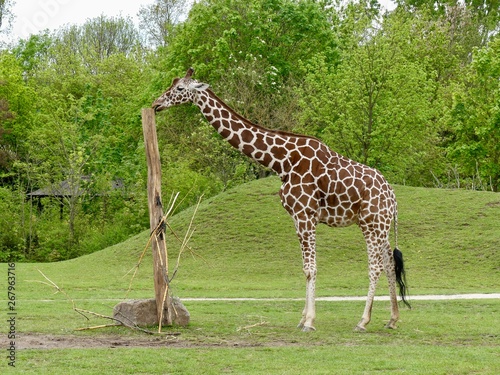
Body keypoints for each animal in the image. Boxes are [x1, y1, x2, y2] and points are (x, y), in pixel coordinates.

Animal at [153, 67, 410, 332]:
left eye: (179, 88)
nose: (156, 104)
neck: (282, 162)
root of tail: (393, 197)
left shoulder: (305, 215)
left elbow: (310, 269)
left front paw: (309, 321)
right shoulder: (297, 217)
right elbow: (305, 268)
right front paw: (303, 318)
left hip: (372, 223)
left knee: (376, 266)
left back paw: (363, 321)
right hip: (378, 225)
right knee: (389, 262)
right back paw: (392, 318)